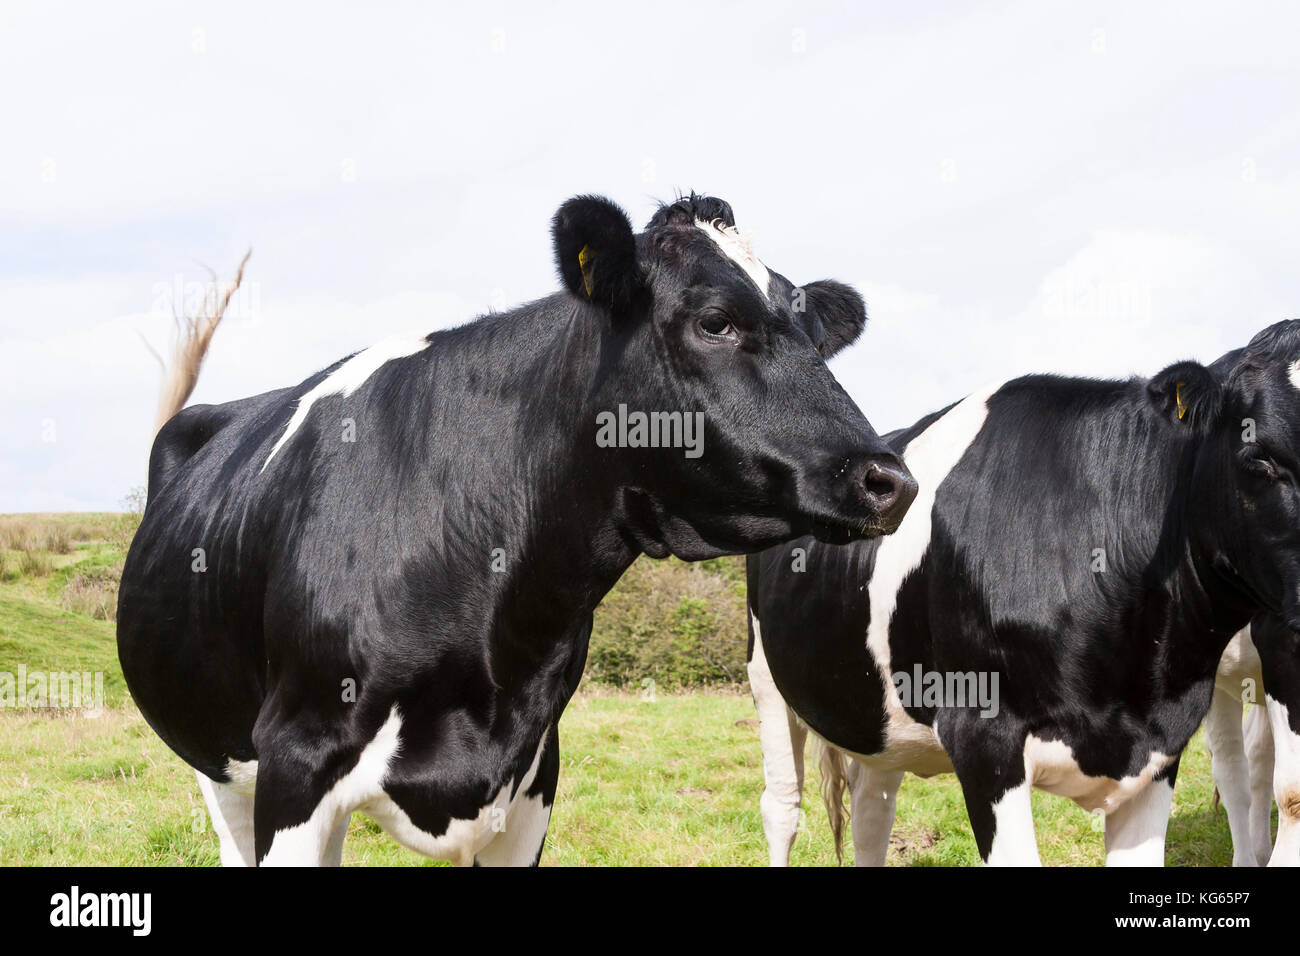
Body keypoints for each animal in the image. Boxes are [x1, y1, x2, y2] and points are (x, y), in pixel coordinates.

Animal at [117, 192, 918, 867]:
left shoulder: (532, 774)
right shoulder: (296, 765)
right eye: (716, 320)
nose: (890, 479)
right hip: (222, 760)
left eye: (815, 334)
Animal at [746, 320, 1300, 866]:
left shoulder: (1162, 745)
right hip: (767, 679)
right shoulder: (982, 735)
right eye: (1260, 460)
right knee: (782, 808)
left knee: (872, 810)